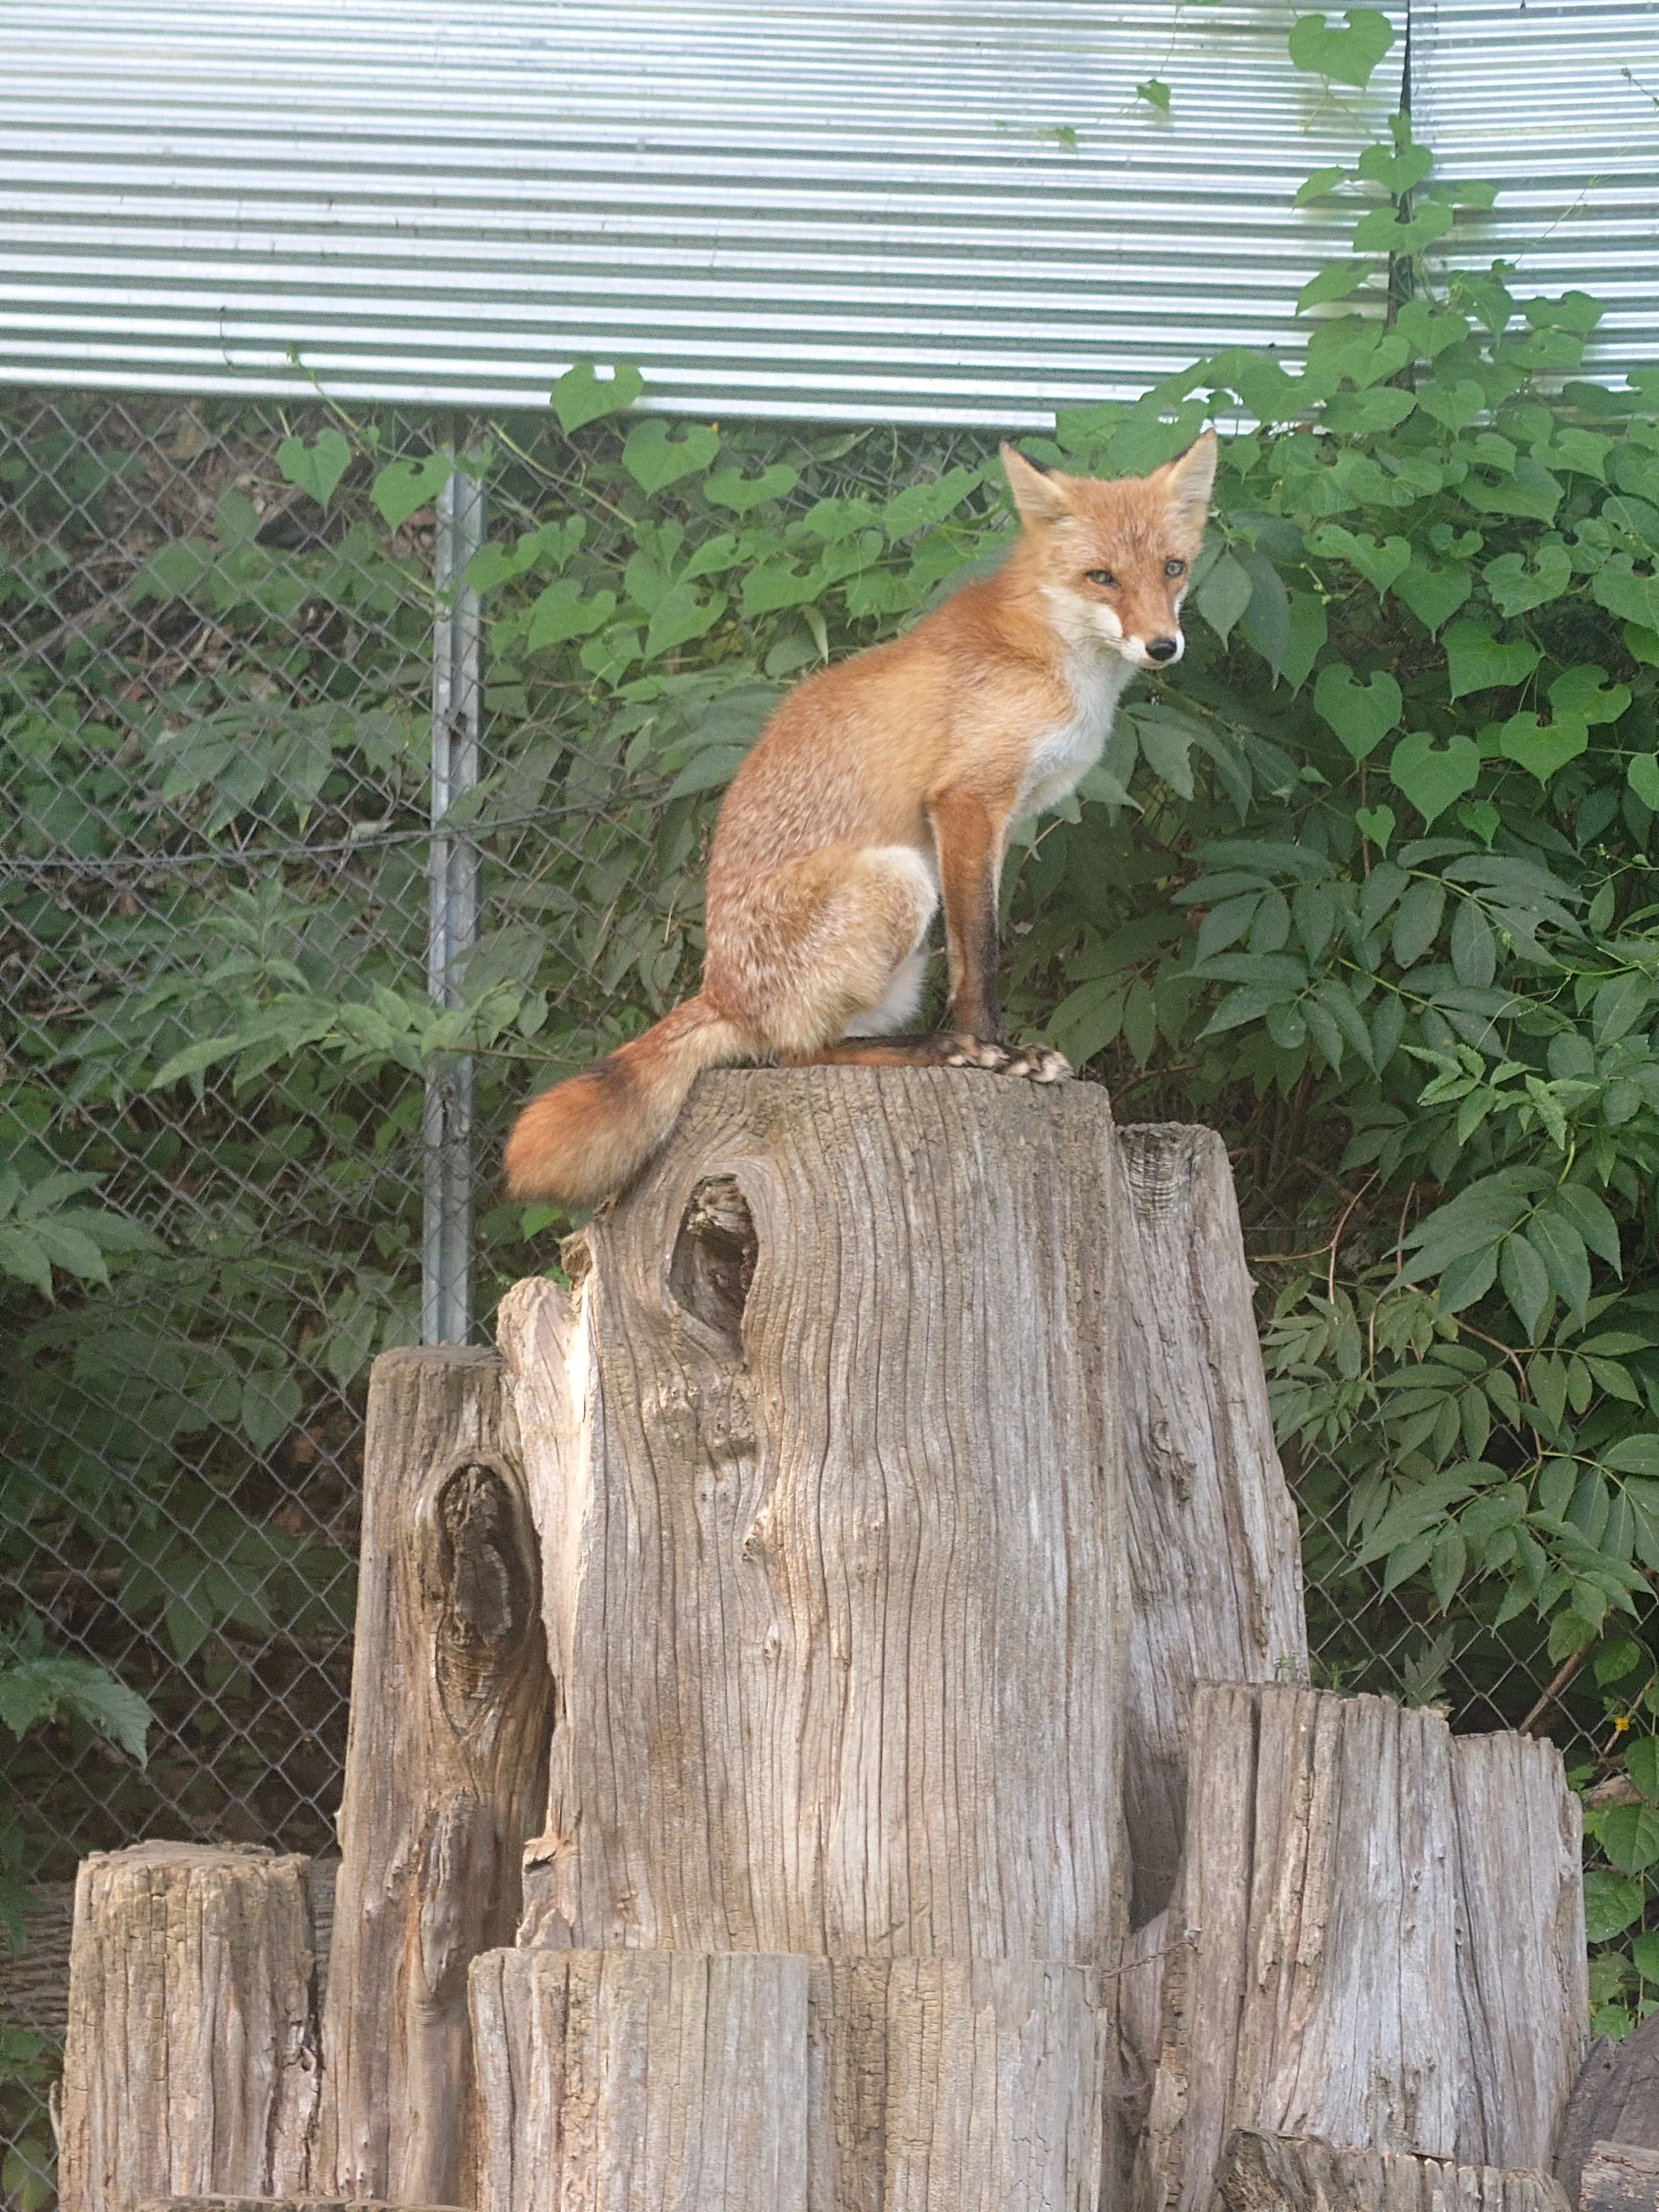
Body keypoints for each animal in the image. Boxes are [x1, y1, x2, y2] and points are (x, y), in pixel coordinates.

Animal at [504, 430, 1218, 1207]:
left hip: (899, 964)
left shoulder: (996, 825)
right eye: (1102, 577)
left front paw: (997, 1048)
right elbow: (982, 954)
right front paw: (998, 1053)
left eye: (1173, 568)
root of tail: (721, 991)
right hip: (897, 879)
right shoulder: (966, 800)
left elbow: (979, 942)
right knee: (796, 1056)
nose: (1163, 646)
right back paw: (940, 1049)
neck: (1050, 653)